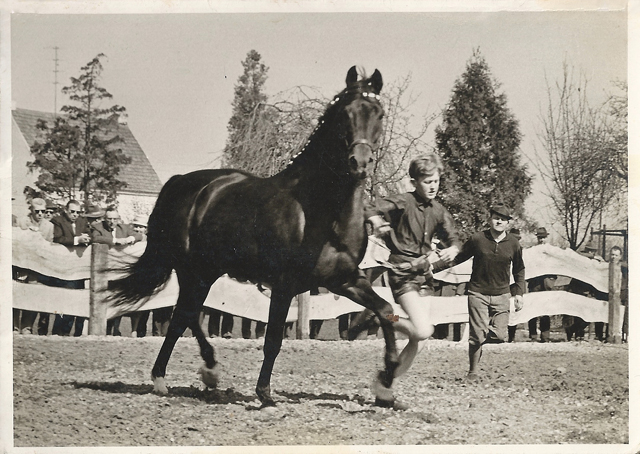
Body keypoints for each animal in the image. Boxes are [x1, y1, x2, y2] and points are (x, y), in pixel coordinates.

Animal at [110, 66, 400, 408]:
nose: (360, 163)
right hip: (192, 269)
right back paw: (184, 375)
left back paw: (188, 374)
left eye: (379, 113)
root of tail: (183, 182)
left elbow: (386, 311)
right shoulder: (285, 284)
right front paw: (265, 393)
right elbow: (273, 338)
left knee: (185, 314)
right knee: (185, 314)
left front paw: (386, 385)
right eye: (345, 113)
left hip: (206, 271)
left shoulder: (345, 279)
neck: (321, 212)